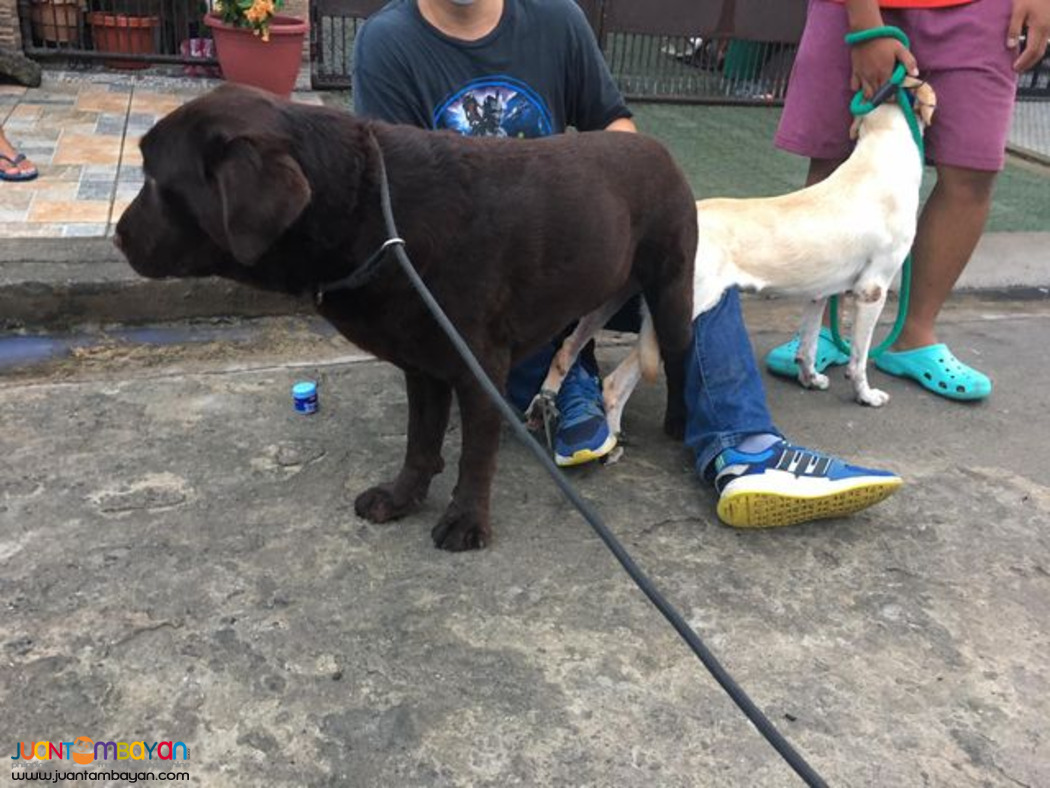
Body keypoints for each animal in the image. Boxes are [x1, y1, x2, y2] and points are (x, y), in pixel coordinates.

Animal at [529, 81, 940, 439]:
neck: (880, 158)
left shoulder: (818, 293)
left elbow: (807, 345)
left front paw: (810, 378)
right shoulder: (873, 291)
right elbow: (859, 358)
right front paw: (865, 395)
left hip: (614, 298)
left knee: (566, 351)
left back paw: (543, 409)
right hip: (680, 312)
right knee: (615, 382)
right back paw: (611, 438)